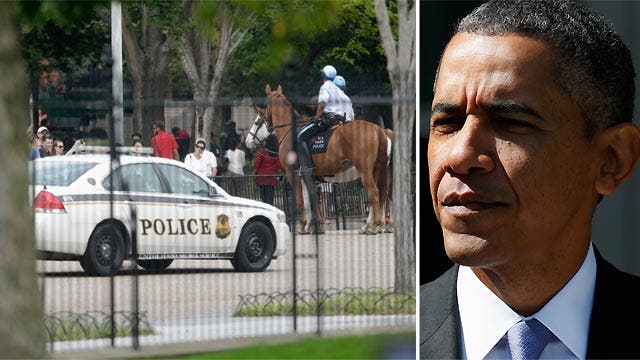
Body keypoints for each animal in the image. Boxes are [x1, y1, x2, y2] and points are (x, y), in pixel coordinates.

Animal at [260, 85, 390, 235]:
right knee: (380, 193)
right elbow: (314, 200)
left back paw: (374, 225)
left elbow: (301, 201)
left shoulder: (293, 175)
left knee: (374, 192)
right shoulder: (311, 178)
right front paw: (317, 226)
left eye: (265, 105)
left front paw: (303, 226)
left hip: (365, 171)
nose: (267, 124)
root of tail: (378, 129)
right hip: (377, 170)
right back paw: (372, 225)